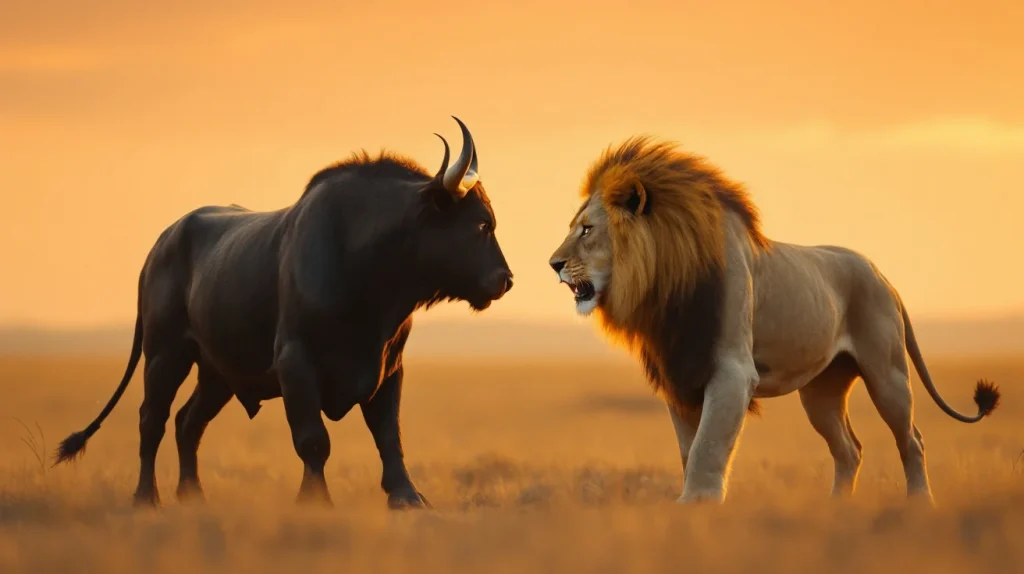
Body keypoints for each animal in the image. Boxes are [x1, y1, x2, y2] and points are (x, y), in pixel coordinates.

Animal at [548, 136, 1001, 505]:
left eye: (587, 230)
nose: (553, 264)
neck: (664, 284)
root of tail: (880, 274)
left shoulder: (732, 371)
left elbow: (707, 446)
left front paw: (694, 505)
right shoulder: (681, 372)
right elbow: (688, 448)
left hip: (887, 375)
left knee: (912, 441)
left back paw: (920, 502)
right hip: (821, 391)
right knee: (848, 448)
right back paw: (835, 507)